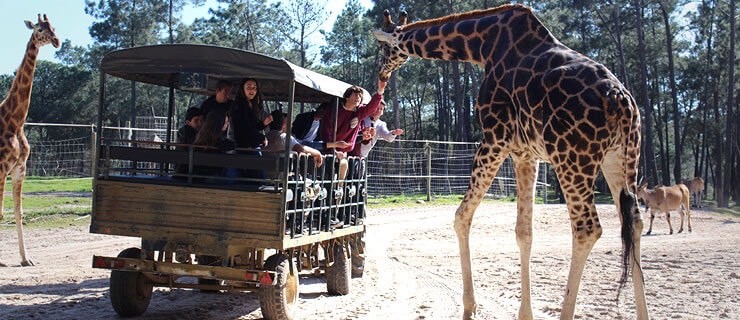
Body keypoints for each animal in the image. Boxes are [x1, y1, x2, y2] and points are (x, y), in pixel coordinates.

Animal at [376, 5, 648, 320]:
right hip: (622, 157)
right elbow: (524, 232)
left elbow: (461, 216)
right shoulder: (526, 153)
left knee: (587, 229)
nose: (380, 75)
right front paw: (524, 313)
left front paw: (469, 306)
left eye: (384, 48)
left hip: (572, 157)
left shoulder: (496, 137)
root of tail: (620, 100)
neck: (482, 46)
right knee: (634, 221)